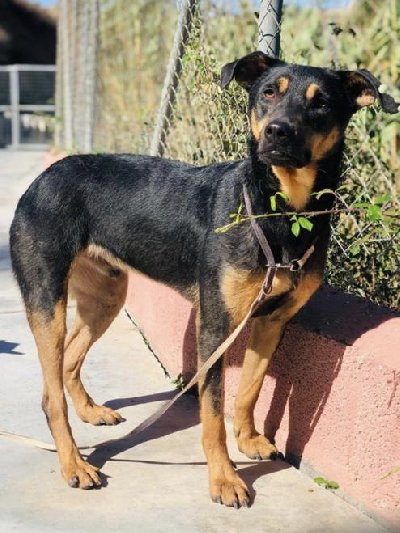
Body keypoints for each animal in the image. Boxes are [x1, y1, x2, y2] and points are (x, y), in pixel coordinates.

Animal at [9, 51, 397, 508]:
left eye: (321, 103)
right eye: (268, 92)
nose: (277, 131)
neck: (278, 211)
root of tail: (44, 176)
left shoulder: (270, 320)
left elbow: (249, 389)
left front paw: (248, 439)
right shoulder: (214, 326)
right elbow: (213, 411)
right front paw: (224, 478)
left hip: (107, 294)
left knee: (69, 359)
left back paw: (91, 412)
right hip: (47, 299)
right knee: (51, 396)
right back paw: (74, 464)